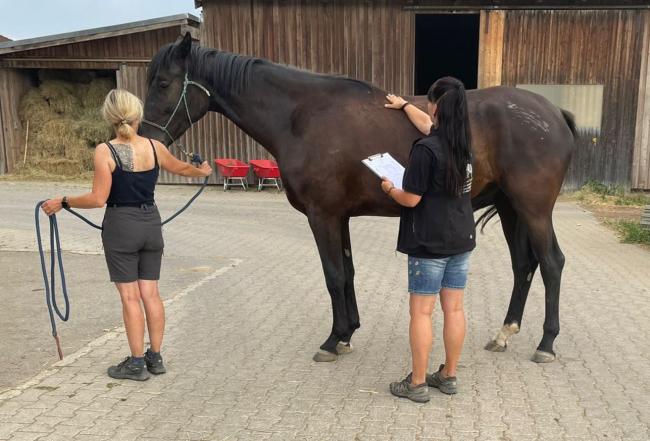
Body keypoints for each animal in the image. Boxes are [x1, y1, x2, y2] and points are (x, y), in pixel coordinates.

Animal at [140, 33, 575, 364]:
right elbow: (347, 273)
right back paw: (504, 334)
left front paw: (333, 340)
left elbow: (333, 275)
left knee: (552, 264)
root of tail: (554, 113)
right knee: (524, 266)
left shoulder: (322, 216)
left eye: (162, 83)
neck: (301, 116)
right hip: (510, 208)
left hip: (534, 209)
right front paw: (348, 332)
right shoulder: (341, 217)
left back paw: (546, 343)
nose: (147, 139)